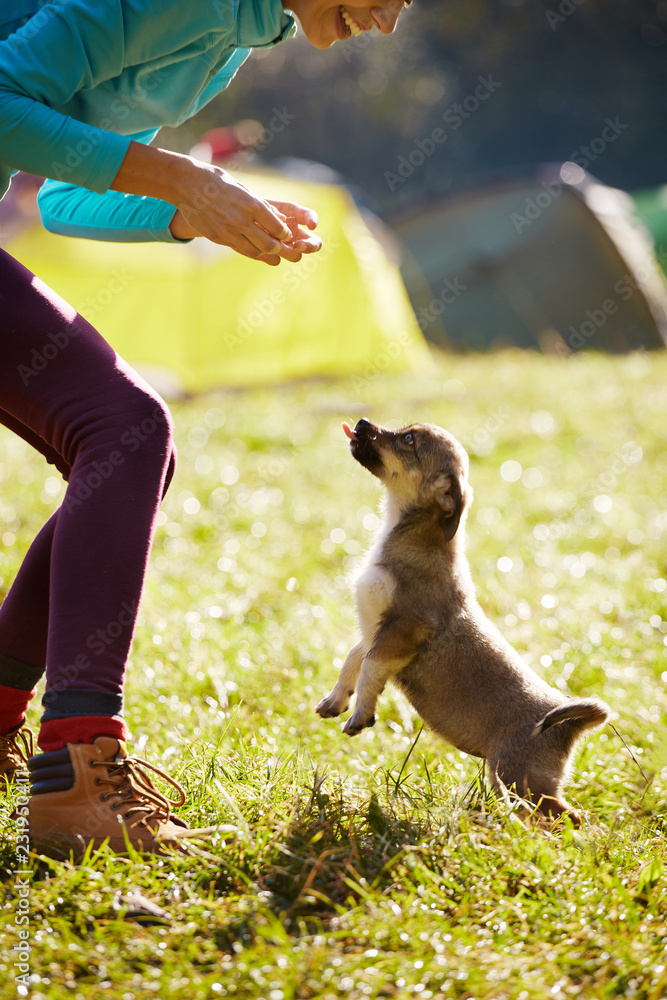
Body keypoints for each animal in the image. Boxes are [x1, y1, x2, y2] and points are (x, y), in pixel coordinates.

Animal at [318, 418, 612, 824]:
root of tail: (568, 725)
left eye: (408, 439)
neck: (406, 533)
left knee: (567, 817)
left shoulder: (403, 629)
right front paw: (336, 700)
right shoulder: (374, 630)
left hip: (515, 778)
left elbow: (370, 670)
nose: (361, 422)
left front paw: (362, 713)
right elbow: (352, 662)